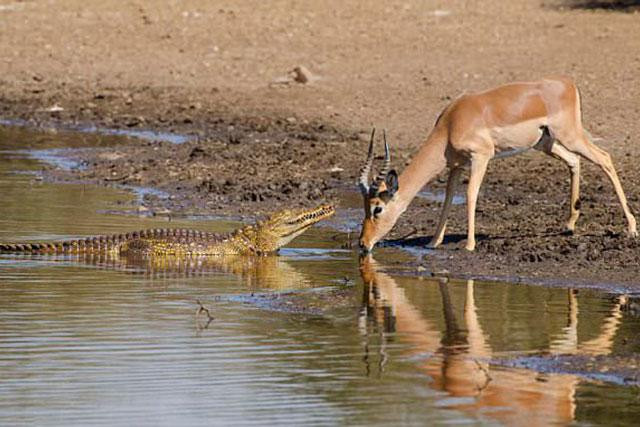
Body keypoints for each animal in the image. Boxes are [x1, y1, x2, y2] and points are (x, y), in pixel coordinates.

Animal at [357, 76, 637, 252]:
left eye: (377, 209)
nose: (363, 244)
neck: (452, 123)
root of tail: (568, 84)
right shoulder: (456, 165)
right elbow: (448, 198)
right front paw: (433, 242)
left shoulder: (481, 157)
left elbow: (471, 194)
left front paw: (469, 245)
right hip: (546, 143)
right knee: (574, 161)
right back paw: (569, 225)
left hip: (570, 136)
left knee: (605, 158)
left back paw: (631, 229)